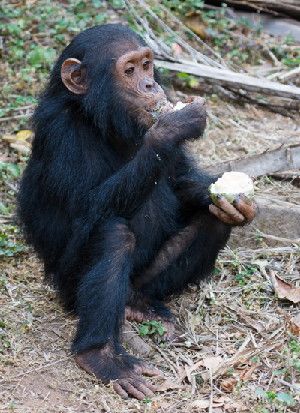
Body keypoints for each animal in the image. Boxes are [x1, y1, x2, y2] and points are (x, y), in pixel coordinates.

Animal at [17, 24, 255, 398]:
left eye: (146, 65)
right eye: (129, 71)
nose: (150, 85)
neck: (101, 121)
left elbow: (181, 181)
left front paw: (233, 200)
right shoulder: (61, 133)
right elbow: (87, 213)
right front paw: (171, 126)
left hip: (142, 279)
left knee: (212, 222)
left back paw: (142, 306)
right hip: (68, 288)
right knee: (114, 236)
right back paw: (101, 356)